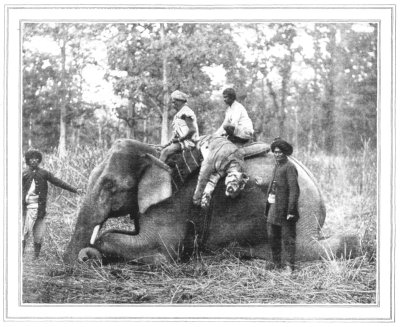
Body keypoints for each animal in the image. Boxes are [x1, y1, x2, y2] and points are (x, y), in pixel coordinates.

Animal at [63, 138, 360, 266]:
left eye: (111, 186)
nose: (71, 262)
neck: (154, 151)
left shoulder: (172, 205)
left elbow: (161, 249)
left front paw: (92, 252)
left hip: (298, 209)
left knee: (307, 249)